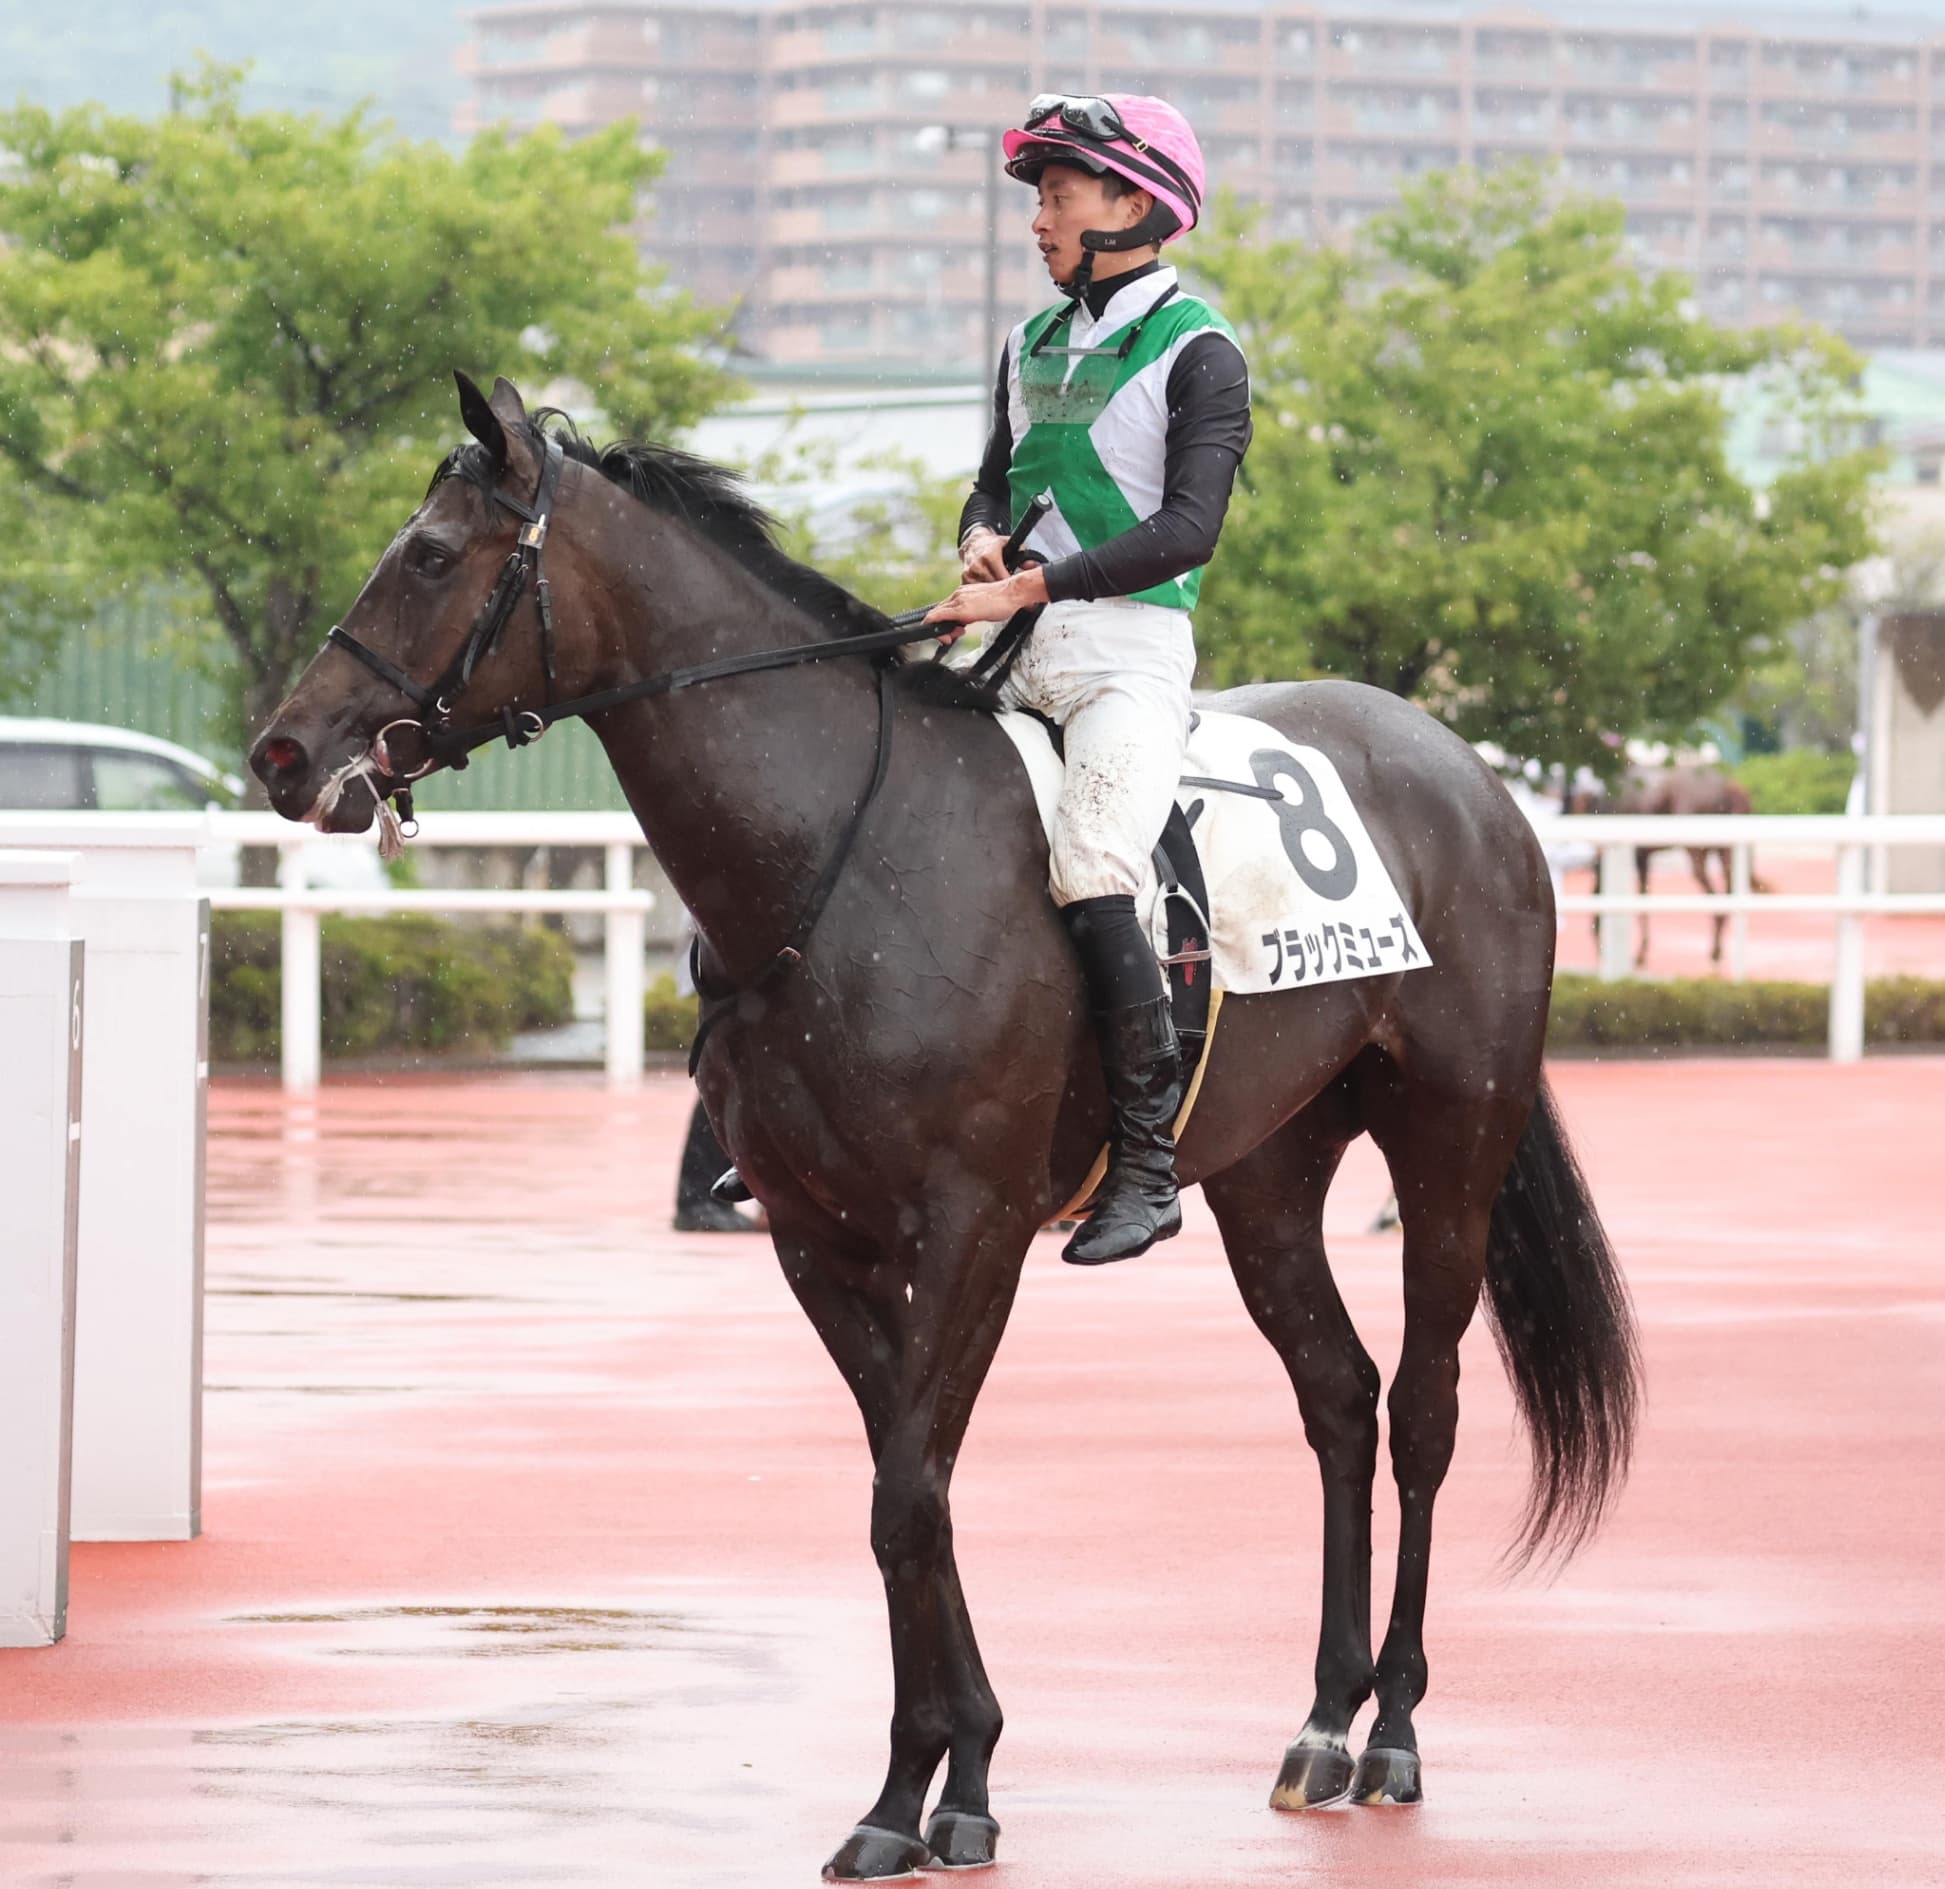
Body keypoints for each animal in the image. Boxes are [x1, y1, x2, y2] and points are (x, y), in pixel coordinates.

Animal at [250, 375, 1640, 1881]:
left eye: (431, 555)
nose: (282, 750)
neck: (841, 856)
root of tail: (1468, 771)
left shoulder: (973, 1228)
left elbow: (909, 1492)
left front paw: (916, 1791)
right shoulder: (820, 1239)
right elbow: (904, 1487)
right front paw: (947, 1775)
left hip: (1451, 1142)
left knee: (1426, 1408)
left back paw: (1391, 1730)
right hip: (1268, 1172)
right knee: (1337, 1395)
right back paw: (1322, 1723)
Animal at [1572, 767, 1770, 968]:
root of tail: (1727, 786)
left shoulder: (1621, 855)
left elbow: (1603, 894)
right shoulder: (1642, 857)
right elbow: (1641, 898)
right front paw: (1640, 952)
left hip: (1698, 849)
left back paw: (1715, 950)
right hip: (1723, 849)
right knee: (1729, 887)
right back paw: (1717, 948)